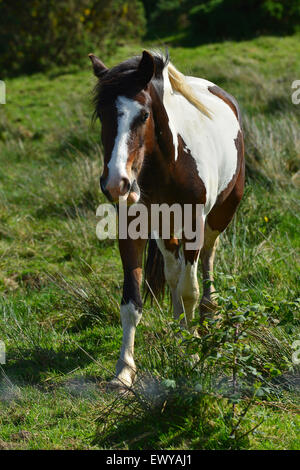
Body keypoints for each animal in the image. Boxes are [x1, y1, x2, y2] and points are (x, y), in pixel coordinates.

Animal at [89, 50, 244, 390]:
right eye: (102, 116)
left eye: (144, 115)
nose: (116, 183)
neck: (168, 164)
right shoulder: (132, 229)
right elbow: (131, 302)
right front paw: (124, 371)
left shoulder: (194, 226)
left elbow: (189, 290)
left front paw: (192, 353)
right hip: (165, 228)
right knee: (173, 272)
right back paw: (178, 328)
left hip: (220, 214)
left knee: (207, 258)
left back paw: (208, 316)